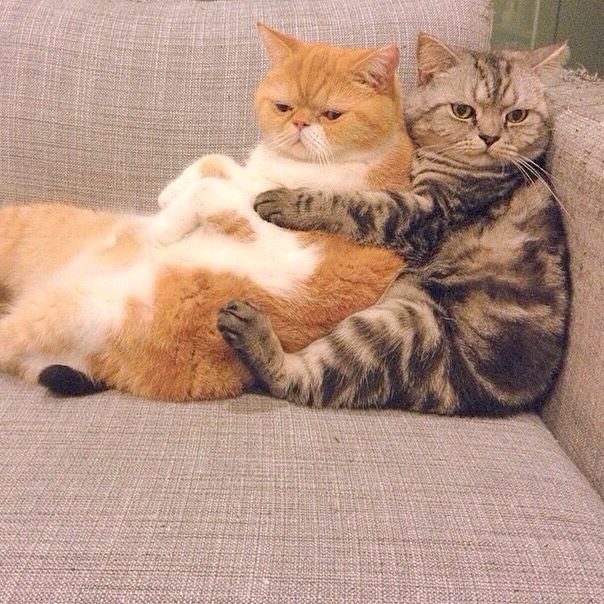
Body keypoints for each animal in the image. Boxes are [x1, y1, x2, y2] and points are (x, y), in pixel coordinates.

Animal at [0, 24, 413, 400]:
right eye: (283, 107)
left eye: (332, 114)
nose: (299, 123)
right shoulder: (252, 178)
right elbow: (214, 162)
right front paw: (168, 195)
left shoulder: (288, 244)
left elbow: (209, 188)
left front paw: (165, 226)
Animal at [216, 33, 571, 416]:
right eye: (463, 111)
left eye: (516, 116)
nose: (490, 137)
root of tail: (488, 402)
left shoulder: (425, 215)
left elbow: (355, 203)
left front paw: (287, 200)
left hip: (398, 328)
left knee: (301, 383)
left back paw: (250, 329)